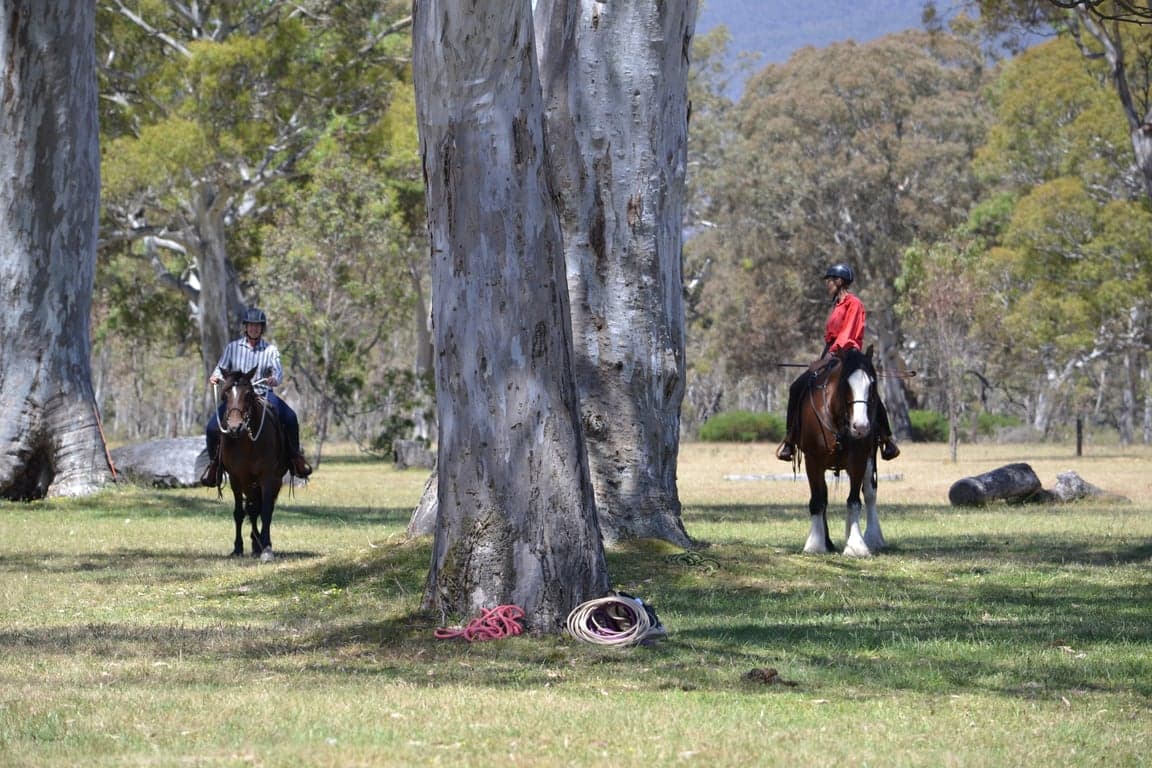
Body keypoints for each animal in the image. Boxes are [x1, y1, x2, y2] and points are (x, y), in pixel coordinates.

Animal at [214, 367, 287, 562]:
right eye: (225, 394)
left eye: (248, 394)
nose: (234, 427)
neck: (246, 442)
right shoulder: (235, 478)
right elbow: (240, 512)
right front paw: (238, 548)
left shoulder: (267, 477)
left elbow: (266, 511)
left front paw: (267, 549)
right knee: (252, 509)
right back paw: (255, 544)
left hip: (272, 481)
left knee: (260, 508)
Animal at [793, 346, 886, 558]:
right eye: (846, 383)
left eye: (872, 384)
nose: (861, 427)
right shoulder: (813, 461)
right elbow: (818, 500)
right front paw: (815, 544)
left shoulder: (858, 459)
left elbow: (854, 501)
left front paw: (856, 545)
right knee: (824, 497)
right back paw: (826, 541)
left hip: (870, 458)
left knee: (870, 494)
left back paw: (873, 537)